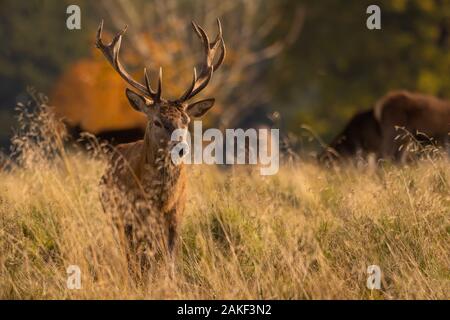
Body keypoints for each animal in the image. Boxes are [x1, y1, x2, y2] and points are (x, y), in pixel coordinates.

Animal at [95, 18, 225, 272]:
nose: (181, 149)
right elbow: (135, 259)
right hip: (113, 212)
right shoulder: (131, 215)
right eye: (156, 121)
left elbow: (171, 259)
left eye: (186, 121)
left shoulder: (176, 214)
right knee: (129, 252)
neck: (160, 201)